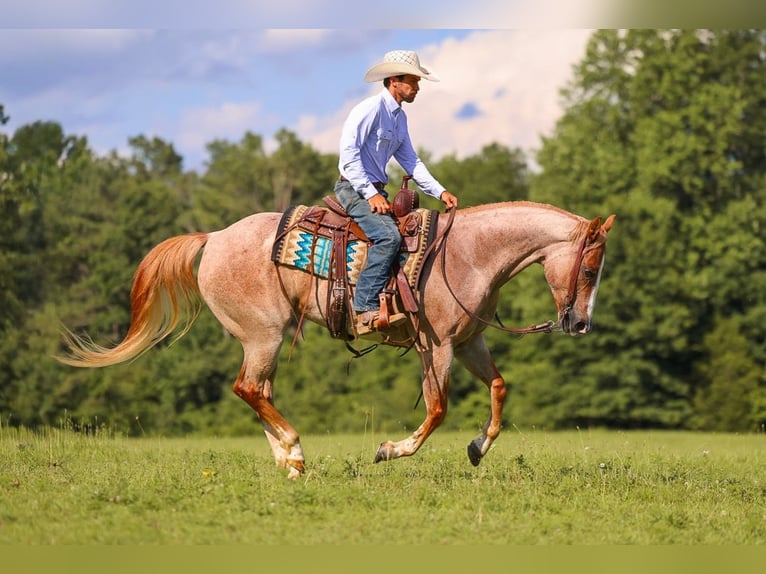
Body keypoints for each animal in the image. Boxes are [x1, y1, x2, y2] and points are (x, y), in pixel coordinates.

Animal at [59, 200, 615, 479]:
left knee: (257, 391)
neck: (468, 254)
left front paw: (478, 448)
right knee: (249, 389)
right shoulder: (436, 347)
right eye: (590, 269)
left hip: (264, 341)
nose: (580, 324)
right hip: (264, 335)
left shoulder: (469, 342)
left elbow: (499, 388)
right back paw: (294, 449)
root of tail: (212, 239)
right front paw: (390, 450)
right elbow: (436, 410)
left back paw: (289, 461)